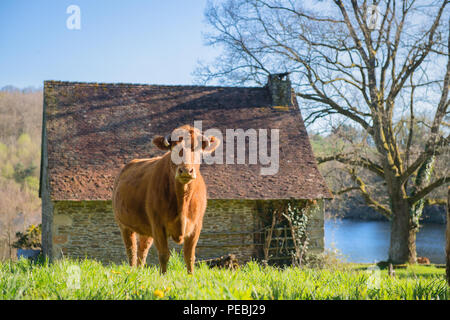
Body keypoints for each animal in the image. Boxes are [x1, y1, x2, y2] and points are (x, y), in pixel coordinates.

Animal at [111, 124, 219, 272]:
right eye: (174, 147)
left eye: (197, 148)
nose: (186, 170)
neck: (182, 200)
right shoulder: (158, 225)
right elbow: (164, 255)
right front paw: (164, 276)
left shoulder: (196, 226)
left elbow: (189, 256)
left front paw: (191, 276)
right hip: (125, 226)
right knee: (131, 251)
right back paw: (132, 271)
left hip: (146, 229)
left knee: (142, 251)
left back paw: (139, 271)